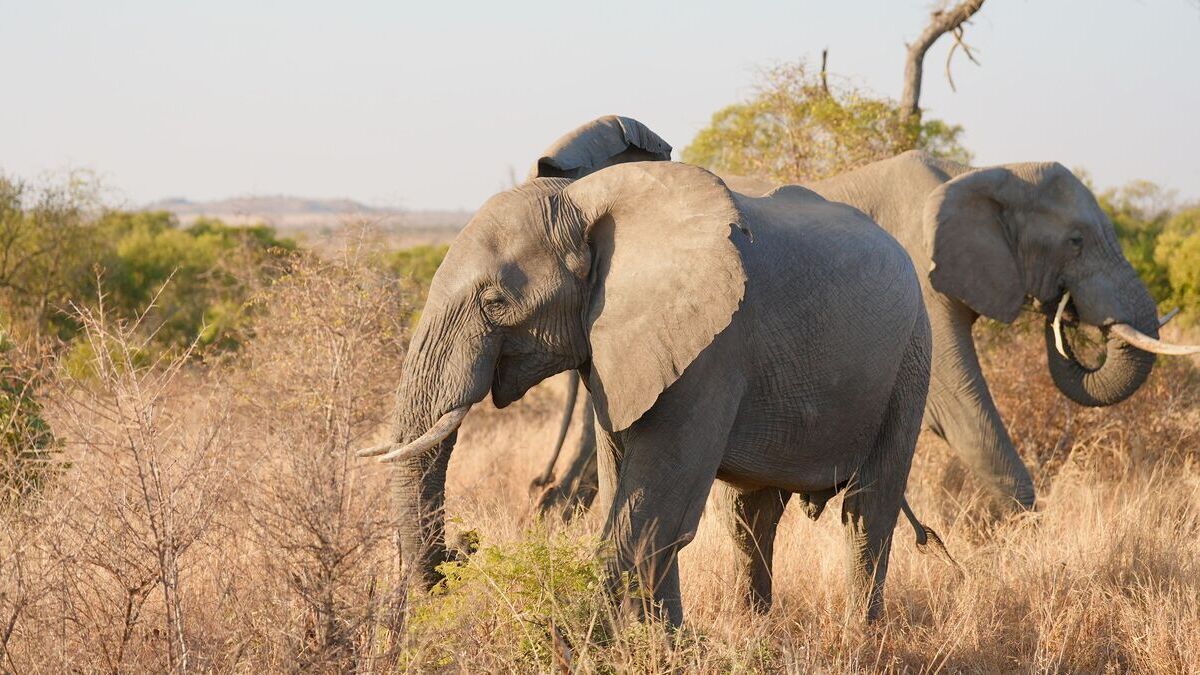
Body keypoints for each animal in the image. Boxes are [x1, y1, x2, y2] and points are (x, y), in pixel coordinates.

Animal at [360, 158, 935, 625]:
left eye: (495, 301)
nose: (465, 547)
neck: (582, 202)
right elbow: (633, 495)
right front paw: (668, 645)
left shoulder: (714, 349)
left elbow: (653, 517)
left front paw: (594, 645)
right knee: (751, 518)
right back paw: (758, 627)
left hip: (911, 354)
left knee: (866, 512)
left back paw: (862, 636)